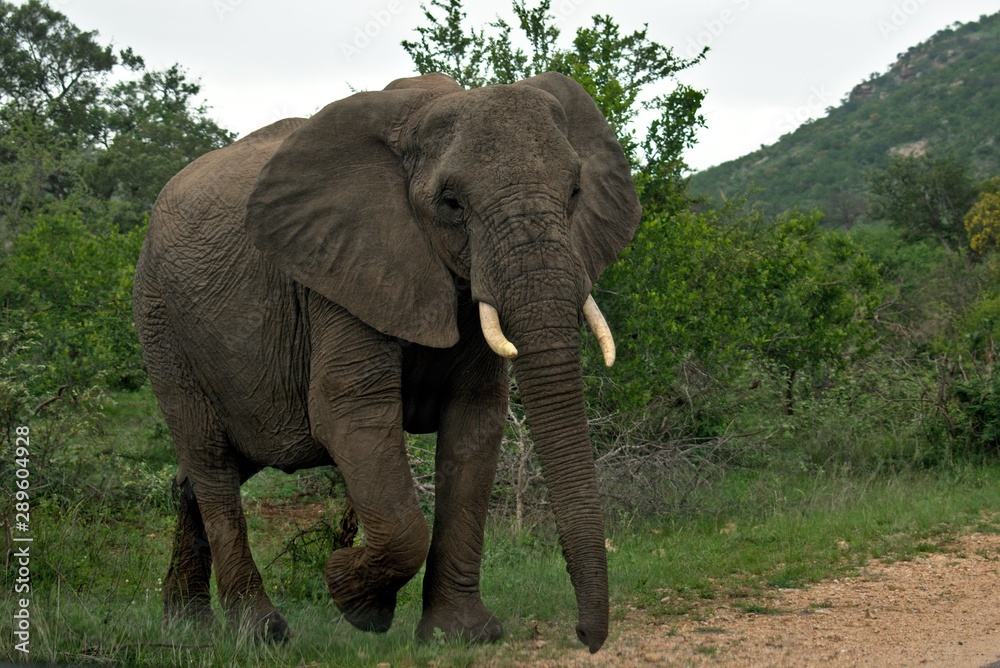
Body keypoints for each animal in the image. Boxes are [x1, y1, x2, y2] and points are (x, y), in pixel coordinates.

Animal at [132, 71, 641, 653]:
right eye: (451, 203)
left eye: (575, 192)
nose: (586, 636)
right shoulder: (340, 273)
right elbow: (350, 415)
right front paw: (353, 596)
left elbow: (475, 419)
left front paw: (462, 636)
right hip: (161, 326)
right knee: (211, 461)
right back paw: (261, 634)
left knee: (204, 471)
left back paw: (184, 627)